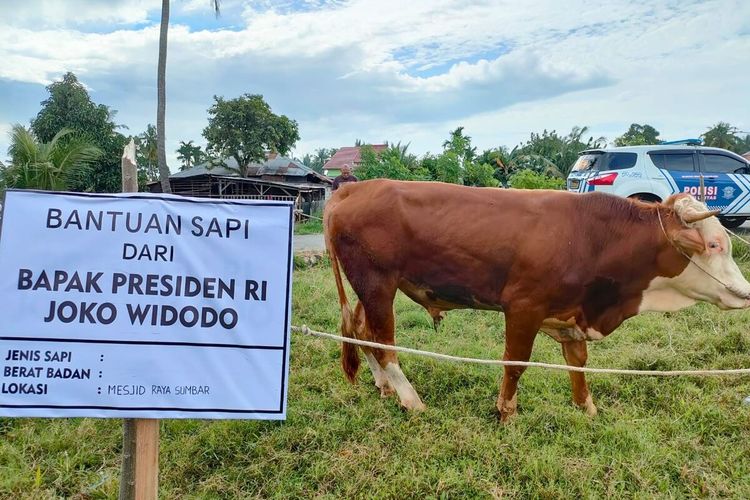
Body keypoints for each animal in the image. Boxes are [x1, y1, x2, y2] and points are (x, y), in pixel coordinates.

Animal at [326, 178, 750, 420]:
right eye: (715, 244)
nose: (745, 293)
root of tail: (356, 187)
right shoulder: (523, 307)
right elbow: (516, 364)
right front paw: (506, 413)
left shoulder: (571, 314)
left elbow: (578, 363)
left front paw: (586, 408)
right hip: (377, 282)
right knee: (384, 343)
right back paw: (409, 398)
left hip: (373, 286)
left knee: (363, 332)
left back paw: (384, 387)